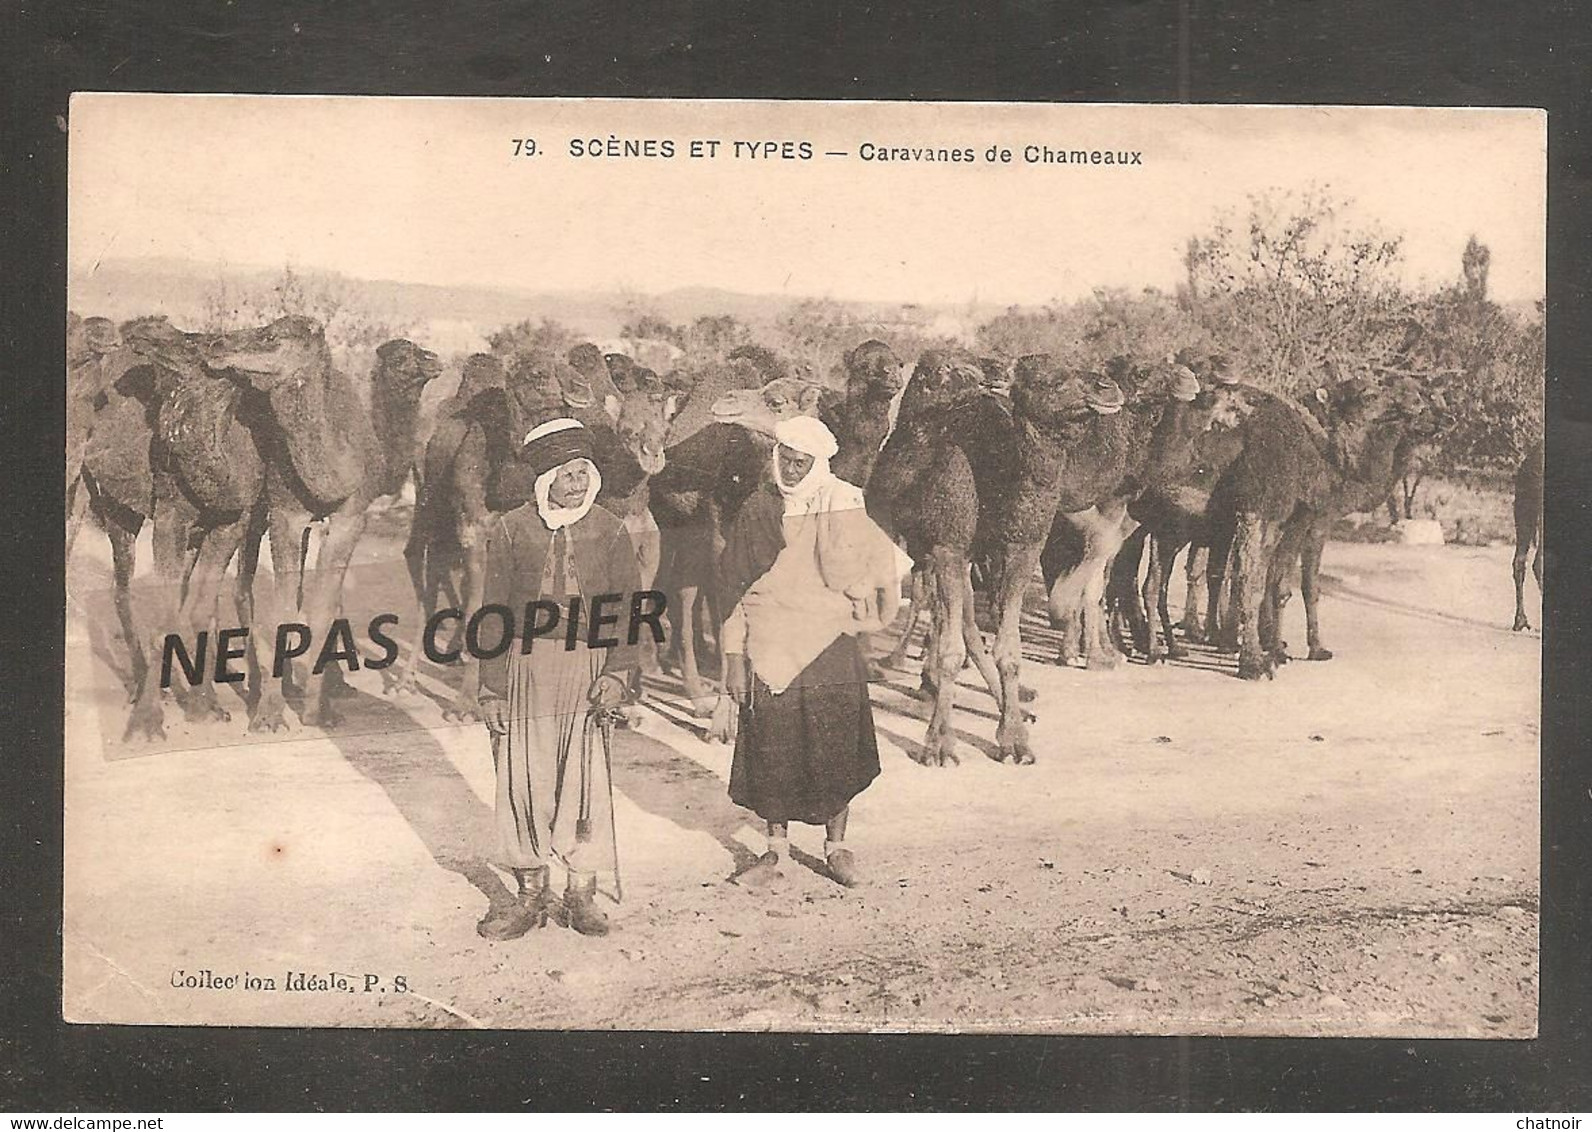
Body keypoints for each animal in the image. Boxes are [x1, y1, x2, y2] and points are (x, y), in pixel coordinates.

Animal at [205, 318, 445, 729]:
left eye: (271, 336)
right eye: (402, 356)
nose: (216, 345)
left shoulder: (349, 518)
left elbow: (322, 606)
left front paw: (320, 706)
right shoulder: (285, 514)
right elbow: (286, 608)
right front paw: (270, 713)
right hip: (248, 509)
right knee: (236, 587)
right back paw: (250, 688)